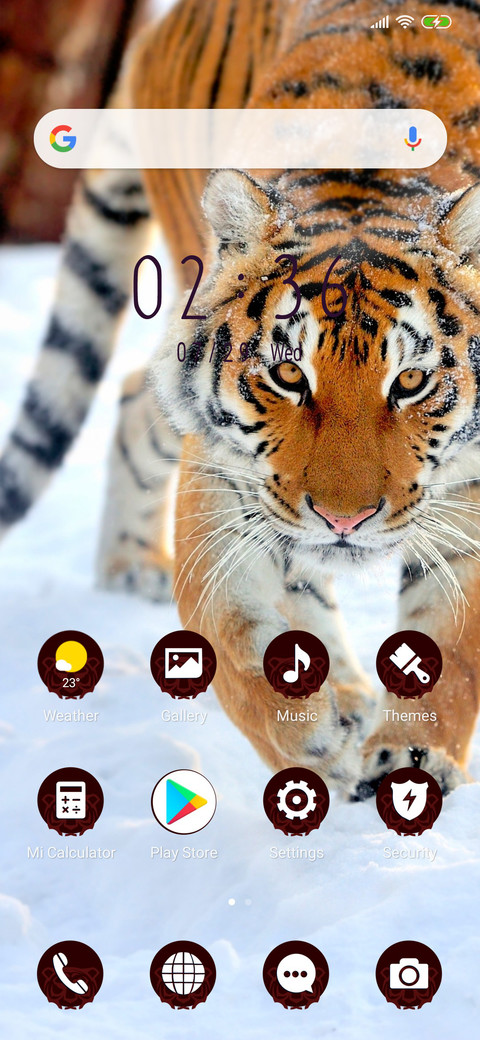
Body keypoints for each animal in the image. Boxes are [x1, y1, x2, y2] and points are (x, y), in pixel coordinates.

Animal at [2, 0, 480, 796]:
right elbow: (228, 637)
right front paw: (313, 742)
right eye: (288, 375)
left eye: (410, 381)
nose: (344, 519)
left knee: (133, 396)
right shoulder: (225, 478)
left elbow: (453, 644)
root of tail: (163, 24)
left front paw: (412, 757)